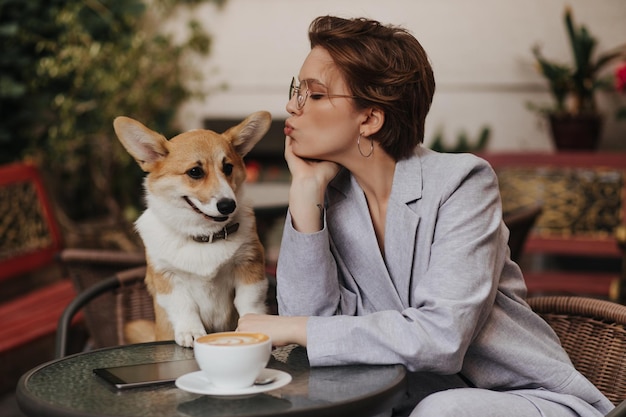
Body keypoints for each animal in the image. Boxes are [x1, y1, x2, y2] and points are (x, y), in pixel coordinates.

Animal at [113, 109, 270, 344]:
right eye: (195, 172)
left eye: (228, 167)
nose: (228, 205)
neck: (203, 236)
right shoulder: (166, 277)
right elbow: (184, 307)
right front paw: (191, 332)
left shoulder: (249, 265)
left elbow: (249, 302)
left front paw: (254, 324)